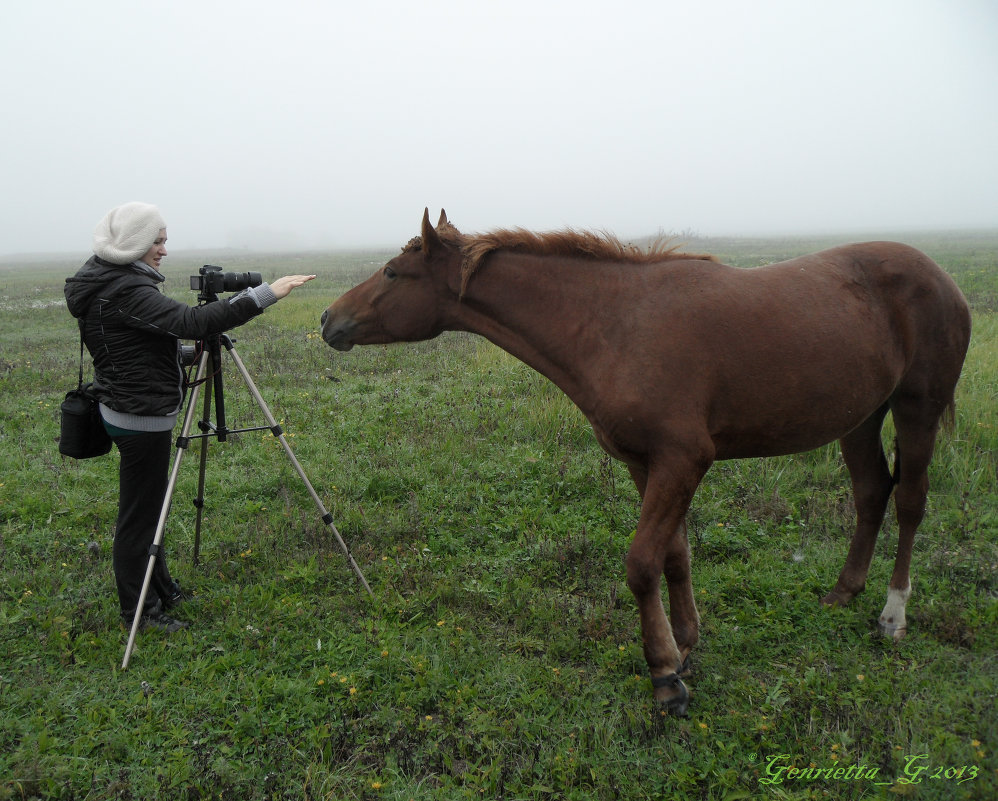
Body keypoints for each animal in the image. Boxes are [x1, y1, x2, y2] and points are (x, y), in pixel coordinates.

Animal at [324, 208, 972, 712]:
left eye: (392, 272)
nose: (330, 320)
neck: (615, 325)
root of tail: (942, 276)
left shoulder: (683, 461)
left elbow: (641, 563)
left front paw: (663, 676)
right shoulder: (647, 464)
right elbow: (675, 555)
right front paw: (685, 644)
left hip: (915, 407)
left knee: (910, 502)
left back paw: (892, 615)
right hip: (861, 417)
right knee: (870, 493)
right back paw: (844, 591)